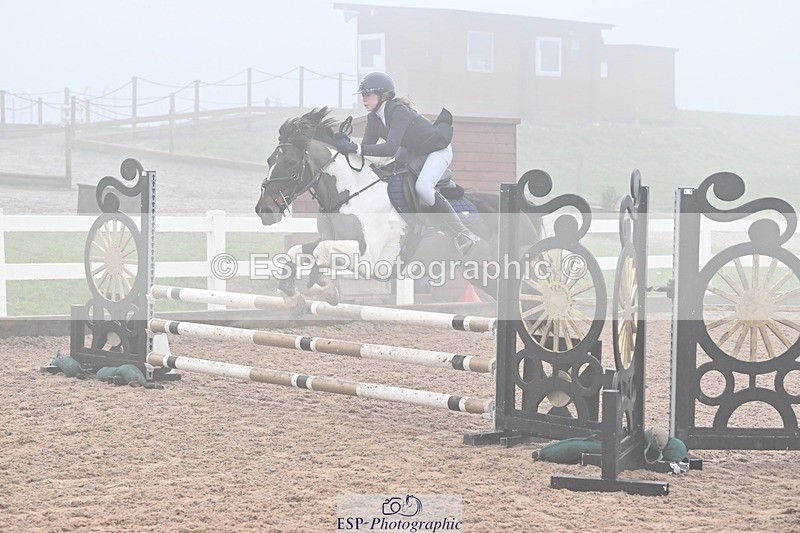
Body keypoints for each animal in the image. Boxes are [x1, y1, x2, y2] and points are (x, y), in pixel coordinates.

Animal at [254, 107, 539, 313]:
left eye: (291, 162)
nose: (264, 210)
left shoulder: (370, 258)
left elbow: (321, 253)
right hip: (483, 274)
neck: (349, 194)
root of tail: (525, 214)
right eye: (269, 161)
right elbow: (297, 252)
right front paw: (296, 298)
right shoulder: (334, 239)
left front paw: (324, 288)